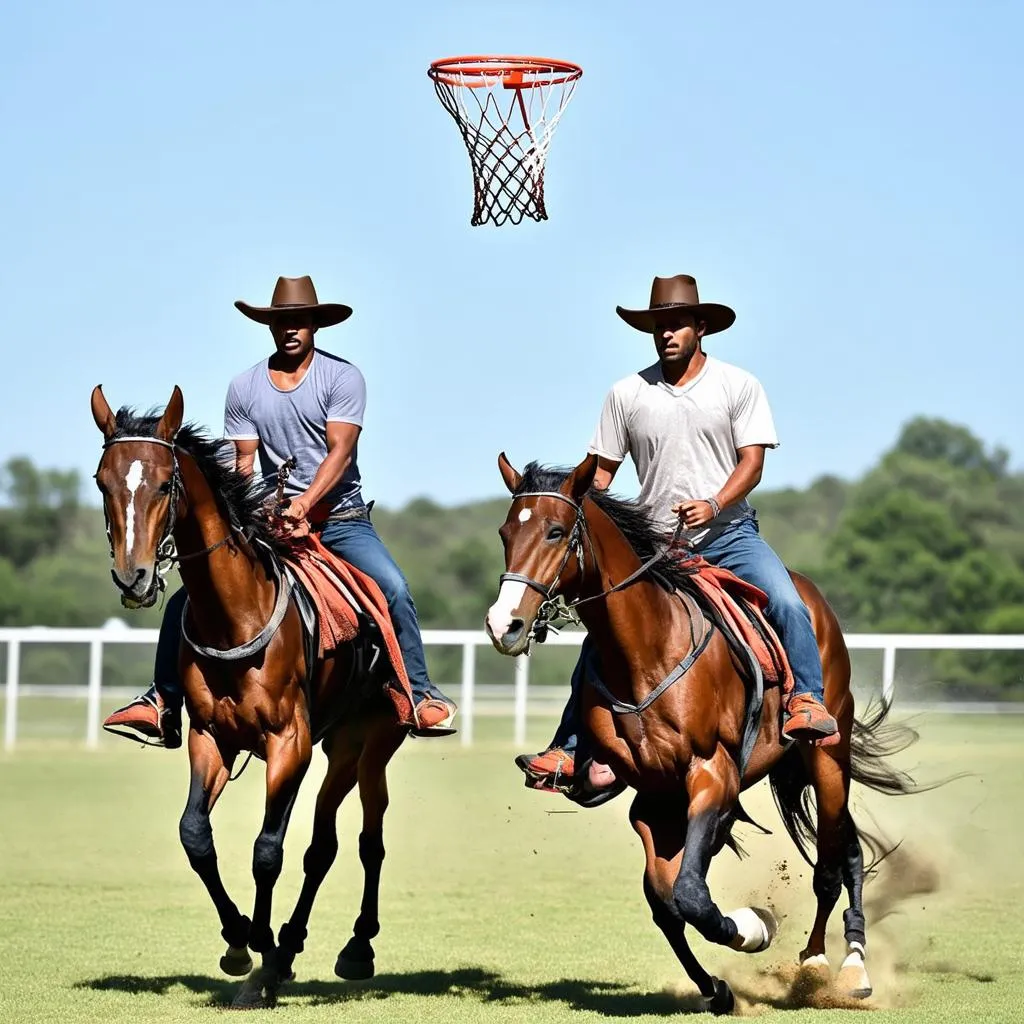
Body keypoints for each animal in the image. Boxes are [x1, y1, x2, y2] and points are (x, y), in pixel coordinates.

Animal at [90, 385, 405, 1007]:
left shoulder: (290, 743)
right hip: (337, 750)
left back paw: (354, 947)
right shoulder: (210, 737)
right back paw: (287, 949)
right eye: (102, 481)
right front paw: (240, 941)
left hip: (371, 743)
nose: (134, 577)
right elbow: (195, 835)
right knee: (323, 847)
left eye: (164, 482)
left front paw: (257, 951)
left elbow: (267, 850)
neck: (235, 615)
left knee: (365, 840)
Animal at [487, 456, 921, 1015]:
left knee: (834, 861)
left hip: (827, 757)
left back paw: (837, 964)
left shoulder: (712, 775)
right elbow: (667, 900)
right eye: (505, 533)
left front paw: (756, 926)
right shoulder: (655, 800)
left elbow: (691, 893)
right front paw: (716, 988)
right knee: (837, 850)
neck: (648, 651)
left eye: (557, 531)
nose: (504, 625)